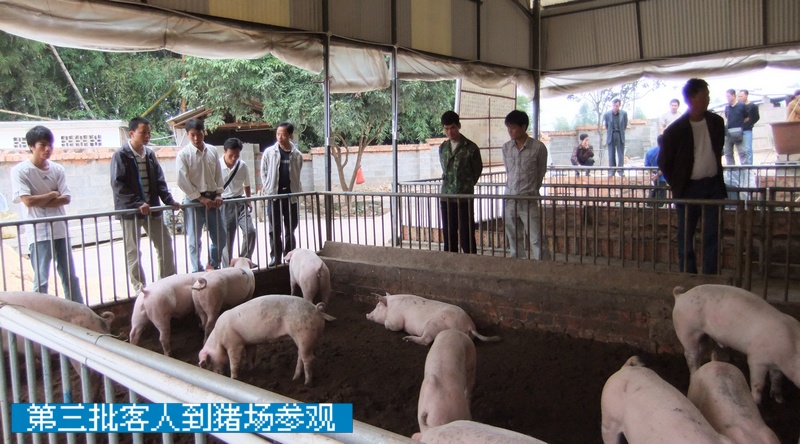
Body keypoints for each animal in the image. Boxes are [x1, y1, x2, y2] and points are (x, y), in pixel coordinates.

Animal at [198, 294, 336, 384]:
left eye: (209, 361)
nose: (218, 374)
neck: (218, 338)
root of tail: (316, 310)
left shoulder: (234, 344)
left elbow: (234, 361)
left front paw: (233, 378)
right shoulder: (249, 343)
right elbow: (251, 355)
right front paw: (251, 368)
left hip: (303, 334)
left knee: (309, 358)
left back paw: (307, 383)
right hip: (301, 338)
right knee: (300, 355)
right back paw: (295, 378)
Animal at [366, 293, 500, 346]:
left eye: (377, 306)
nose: (366, 314)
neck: (390, 307)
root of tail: (469, 326)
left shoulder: (396, 319)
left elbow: (393, 325)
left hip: (433, 325)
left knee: (425, 340)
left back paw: (407, 338)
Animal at [672, 284, 800, 404]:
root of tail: (681, 297)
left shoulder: (777, 366)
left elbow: (777, 379)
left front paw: (779, 400)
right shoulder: (756, 359)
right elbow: (758, 384)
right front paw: (756, 402)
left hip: (702, 335)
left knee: (701, 351)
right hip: (686, 330)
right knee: (690, 355)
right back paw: (694, 372)